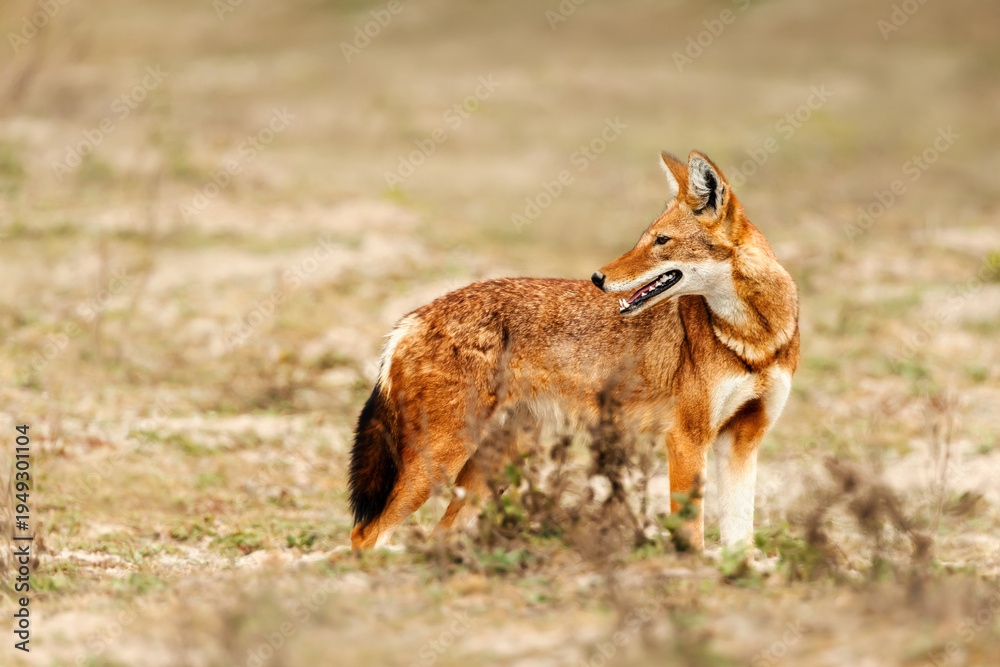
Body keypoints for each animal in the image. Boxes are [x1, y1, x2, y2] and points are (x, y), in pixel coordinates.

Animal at [348, 150, 799, 551]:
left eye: (661, 241)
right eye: (644, 240)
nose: (598, 277)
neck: (753, 341)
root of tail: (409, 319)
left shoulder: (742, 442)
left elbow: (740, 539)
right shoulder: (687, 440)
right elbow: (691, 536)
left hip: (488, 464)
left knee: (435, 534)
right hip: (440, 463)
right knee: (365, 534)